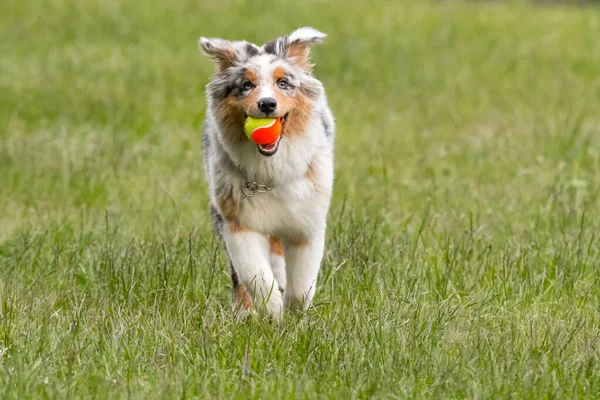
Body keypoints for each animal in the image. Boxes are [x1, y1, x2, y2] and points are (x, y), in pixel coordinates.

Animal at [199, 27, 336, 322]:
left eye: (283, 83)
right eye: (246, 85)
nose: (267, 104)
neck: (271, 170)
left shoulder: (307, 222)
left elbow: (302, 286)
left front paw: (294, 316)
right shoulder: (238, 221)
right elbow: (255, 274)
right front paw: (272, 312)